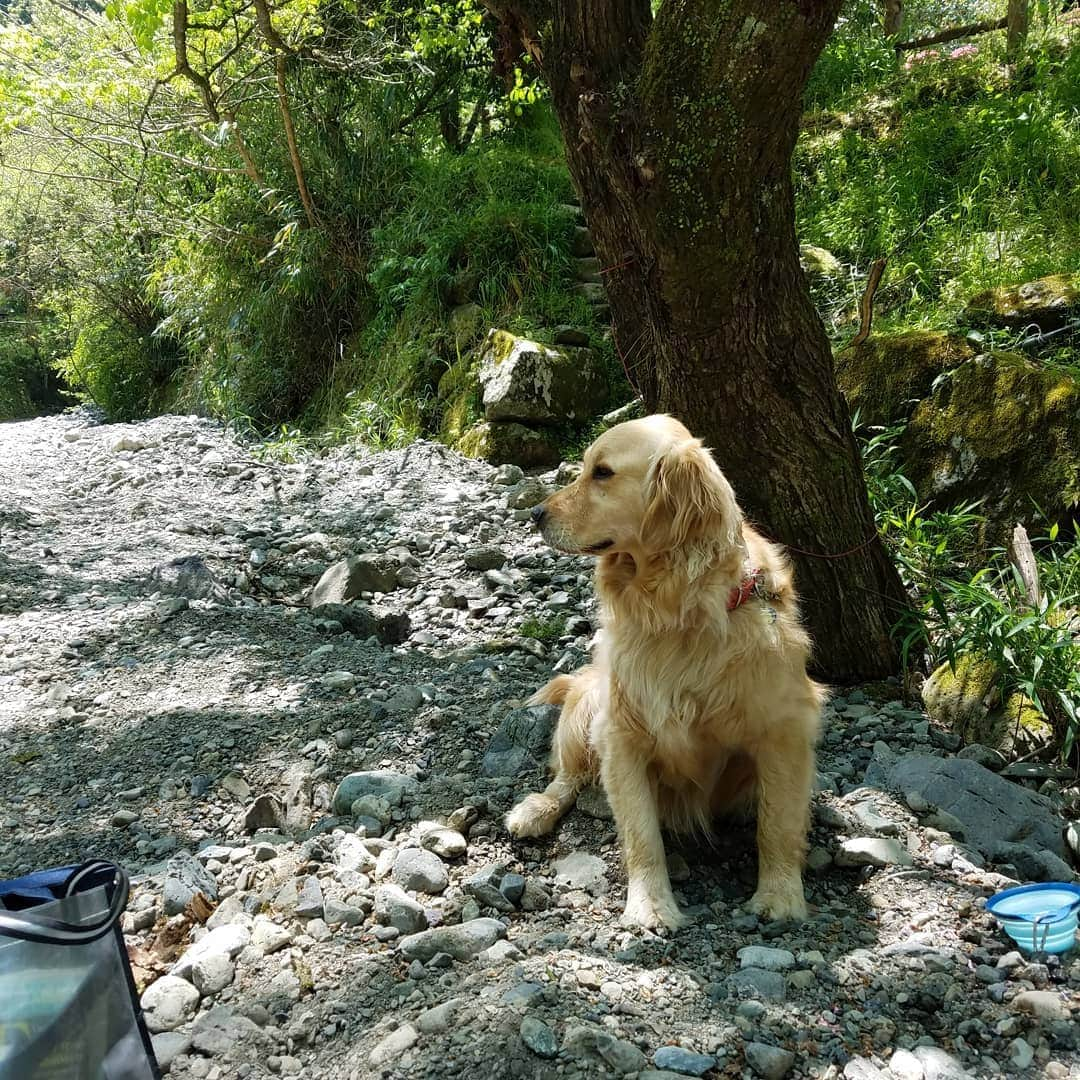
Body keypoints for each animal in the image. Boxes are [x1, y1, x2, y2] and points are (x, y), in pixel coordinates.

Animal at [505, 412, 825, 928]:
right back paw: (535, 809)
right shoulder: (622, 731)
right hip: (589, 702)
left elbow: (777, 822)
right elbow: (642, 834)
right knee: (567, 775)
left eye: (603, 473)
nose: (535, 514)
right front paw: (651, 907)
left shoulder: (786, 728)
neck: (678, 611)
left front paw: (779, 897)